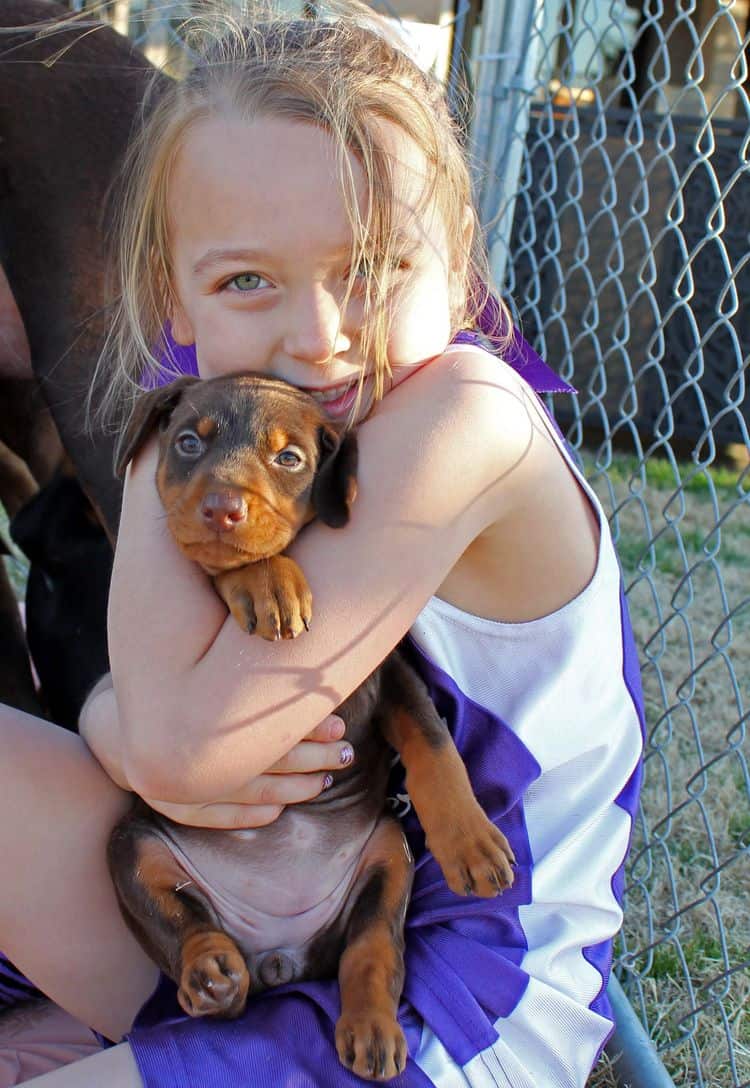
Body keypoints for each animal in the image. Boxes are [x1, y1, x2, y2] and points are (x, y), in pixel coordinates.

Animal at [106, 374, 513, 1079]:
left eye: (289, 458)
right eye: (187, 443)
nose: (222, 508)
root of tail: (281, 954)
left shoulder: (388, 669)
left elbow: (434, 743)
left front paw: (472, 843)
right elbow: (228, 563)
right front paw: (268, 581)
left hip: (390, 858)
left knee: (371, 950)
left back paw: (372, 1027)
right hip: (130, 847)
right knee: (180, 919)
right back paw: (211, 975)